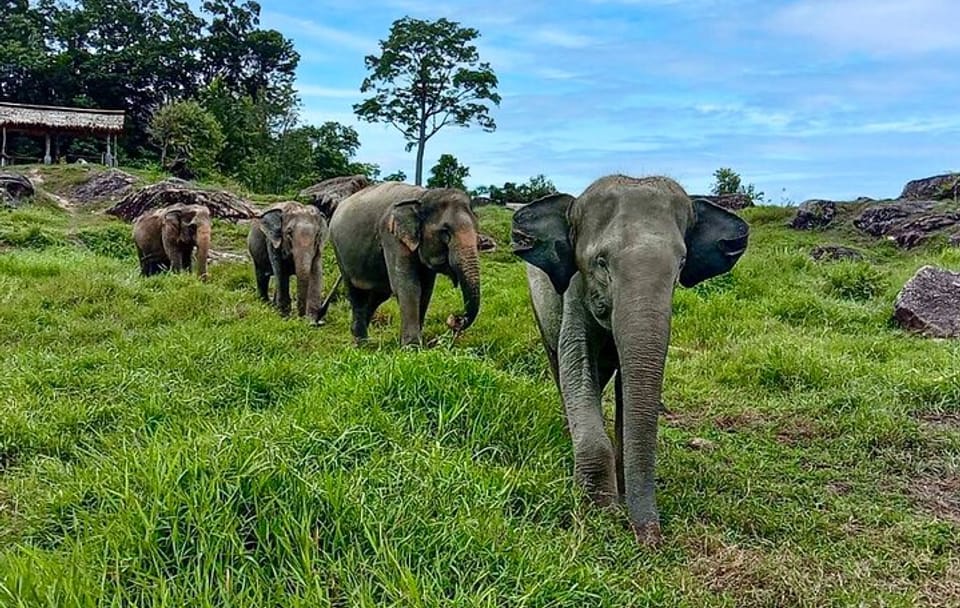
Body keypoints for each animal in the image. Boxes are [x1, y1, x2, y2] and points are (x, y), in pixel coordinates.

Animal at [328, 182, 481, 346]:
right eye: (445, 232)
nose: (455, 319)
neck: (423, 196)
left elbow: (426, 290)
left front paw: (418, 344)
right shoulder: (391, 235)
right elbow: (409, 286)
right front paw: (412, 346)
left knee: (379, 294)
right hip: (339, 251)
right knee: (356, 292)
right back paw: (360, 343)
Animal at [511, 175, 749, 544]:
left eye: (681, 264)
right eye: (601, 262)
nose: (651, 541)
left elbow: (629, 381)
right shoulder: (575, 290)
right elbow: (576, 360)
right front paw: (601, 513)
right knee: (558, 365)